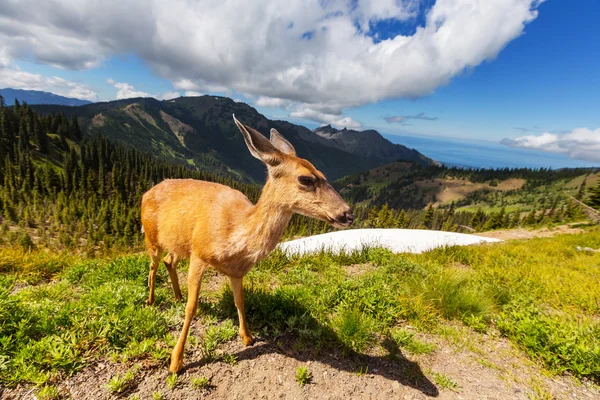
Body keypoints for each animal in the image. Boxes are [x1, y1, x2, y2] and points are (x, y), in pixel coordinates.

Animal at [141, 115, 354, 372]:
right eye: (305, 178)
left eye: (323, 173)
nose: (348, 213)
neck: (233, 235)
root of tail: (146, 192)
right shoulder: (199, 254)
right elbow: (192, 308)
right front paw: (176, 361)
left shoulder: (237, 271)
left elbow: (240, 301)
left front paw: (247, 337)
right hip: (151, 236)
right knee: (153, 265)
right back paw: (151, 300)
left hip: (177, 243)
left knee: (168, 261)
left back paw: (177, 295)